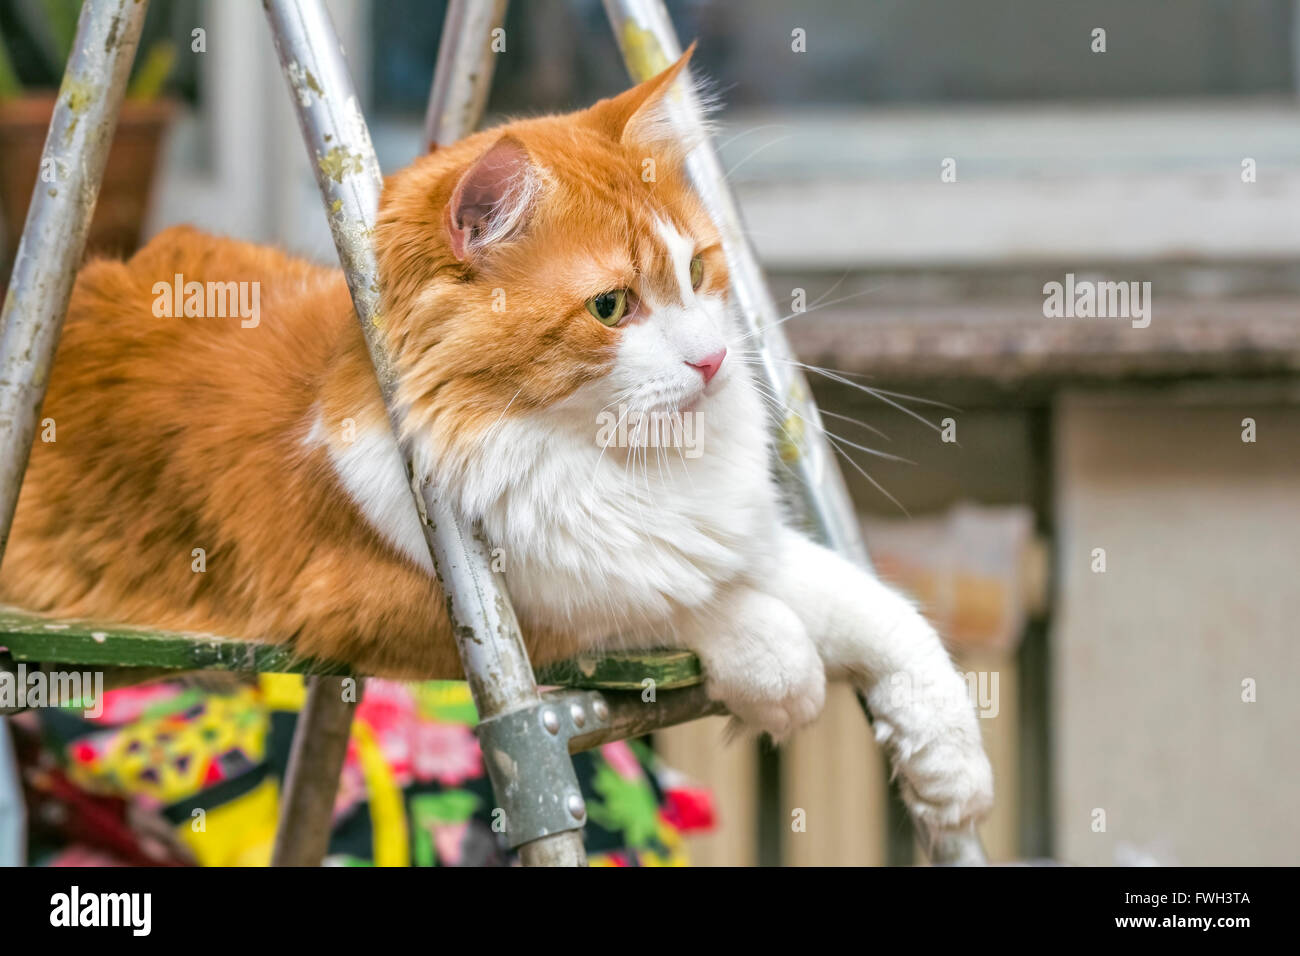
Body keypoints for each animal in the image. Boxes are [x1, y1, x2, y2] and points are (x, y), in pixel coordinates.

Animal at [2, 52, 993, 832]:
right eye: (611, 307)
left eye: (698, 269)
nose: (711, 361)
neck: (615, 465)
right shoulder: (396, 604)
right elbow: (652, 605)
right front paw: (776, 665)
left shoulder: (739, 543)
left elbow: (881, 611)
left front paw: (950, 768)